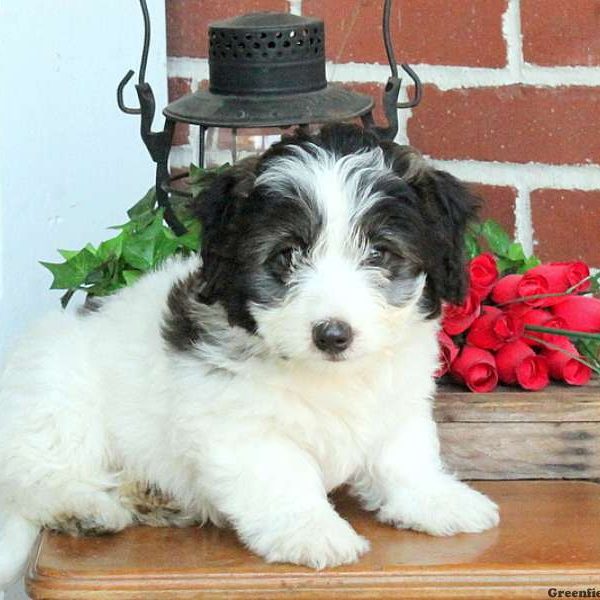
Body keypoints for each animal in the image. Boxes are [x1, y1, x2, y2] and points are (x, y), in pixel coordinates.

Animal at [0, 123, 496, 584]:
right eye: (287, 255)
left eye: (380, 252)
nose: (332, 335)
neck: (327, 375)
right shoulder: (240, 424)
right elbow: (283, 477)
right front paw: (312, 531)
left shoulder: (397, 403)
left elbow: (404, 455)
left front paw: (436, 499)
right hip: (57, 392)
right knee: (35, 475)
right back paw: (83, 508)